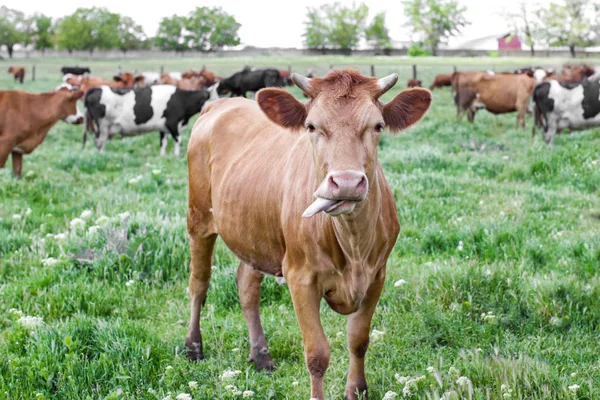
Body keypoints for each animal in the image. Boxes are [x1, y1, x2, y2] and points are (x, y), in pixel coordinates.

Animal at [83, 85, 217, 155]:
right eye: (214, 98)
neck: (181, 100)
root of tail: (96, 88)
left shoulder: (164, 127)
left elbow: (163, 143)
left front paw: (163, 156)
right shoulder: (172, 123)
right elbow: (178, 141)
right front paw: (177, 155)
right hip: (102, 126)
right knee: (99, 142)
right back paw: (102, 156)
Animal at [185, 70, 434, 398]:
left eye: (378, 125)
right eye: (312, 126)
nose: (346, 182)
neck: (353, 245)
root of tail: (222, 103)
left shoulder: (377, 276)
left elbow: (359, 340)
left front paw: (356, 390)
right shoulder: (300, 277)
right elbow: (317, 354)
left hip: (253, 233)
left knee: (247, 287)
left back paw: (261, 356)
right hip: (199, 219)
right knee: (199, 284)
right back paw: (193, 347)